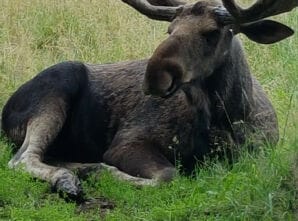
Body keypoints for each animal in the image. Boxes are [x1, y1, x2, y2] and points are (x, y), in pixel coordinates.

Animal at [0, 0, 296, 199]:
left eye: (212, 32)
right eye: (170, 29)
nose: (154, 76)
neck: (227, 118)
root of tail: (5, 111)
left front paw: (93, 170)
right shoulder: (126, 142)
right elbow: (169, 175)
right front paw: (100, 171)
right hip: (59, 83)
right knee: (22, 158)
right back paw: (69, 179)